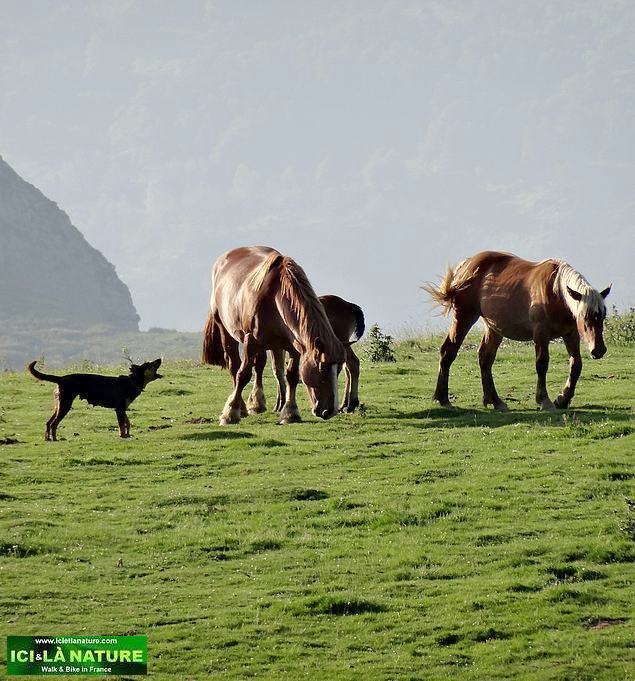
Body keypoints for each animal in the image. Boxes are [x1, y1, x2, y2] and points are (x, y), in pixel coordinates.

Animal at [202, 246, 345, 424]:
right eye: (323, 367)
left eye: (339, 368)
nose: (330, 411)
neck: (275, 296)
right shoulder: (250, 340)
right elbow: (243, 374)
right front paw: (230, 413)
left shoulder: (294, 346)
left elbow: (292, 376)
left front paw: (290, 412)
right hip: (227, 331)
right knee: (234, 367)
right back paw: (241, 407)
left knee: (259, 365)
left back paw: (256, 404)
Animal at [423, 251, 611, 411]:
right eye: (585, 316)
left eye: (602, 315)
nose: (598, 350)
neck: (555, 291)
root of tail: (465, 265)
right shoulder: (540, 333)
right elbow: (542, 364)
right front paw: (544, 400)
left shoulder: (570, 334)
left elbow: (576, 365)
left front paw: (562, 399)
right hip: (464, 316)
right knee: (448, 351)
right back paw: (442, 399)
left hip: (493, 327)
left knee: (485, 358)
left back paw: (495, 401)